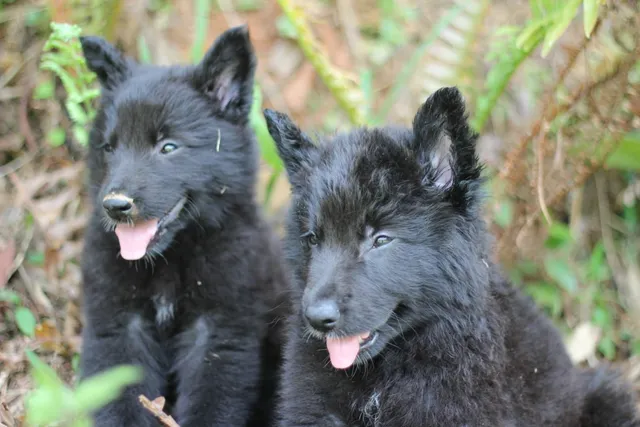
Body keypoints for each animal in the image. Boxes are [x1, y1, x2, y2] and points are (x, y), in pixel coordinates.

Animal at [79, 27, 288, 427]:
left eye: (168, 147)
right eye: (109, 147)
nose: (115, 206)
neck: (169, 259)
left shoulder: (219, 331)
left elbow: (212, 401)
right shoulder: (118, 325)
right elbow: (121, 398)